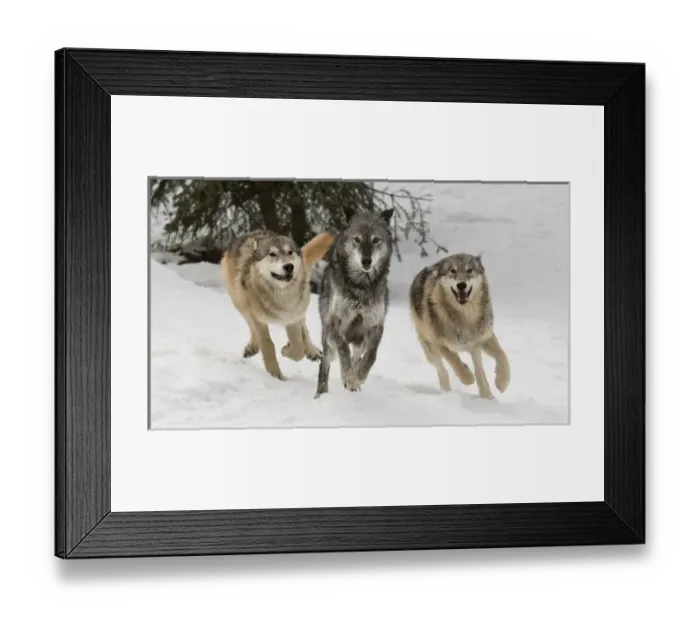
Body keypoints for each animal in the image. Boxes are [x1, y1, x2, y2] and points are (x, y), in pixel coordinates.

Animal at [220, 228, 335, 380]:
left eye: (290, 252)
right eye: (272, 254)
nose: (289, 266)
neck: (281, 297)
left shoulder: (292, 317)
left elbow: (298, 348)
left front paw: (286, 350)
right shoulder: (257, 318)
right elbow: (268, 344)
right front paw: (275, 374)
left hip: (301, 307)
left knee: (304, 329)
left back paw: (312, 351)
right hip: (240, 304)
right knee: (251, 326)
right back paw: (252, 347)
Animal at [314, 208, 394, 398]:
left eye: (375, 240)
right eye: (357, 239)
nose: (366, 261)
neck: (361, 286)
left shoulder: (375, 326)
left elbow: (371, 356)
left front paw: (358, 377)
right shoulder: (334, 325)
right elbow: (343, 348)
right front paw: (348, 379)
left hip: (360, 340)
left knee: (356, 355)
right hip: (328, 342)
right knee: (325, 364)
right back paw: (321, 394)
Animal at [409, 253, 510, 399]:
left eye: (470, 270)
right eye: (453, 271)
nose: (461, 285)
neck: (465, 317)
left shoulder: (483, 338)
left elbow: (502, 355)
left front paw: (502, 382)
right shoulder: (440, 344)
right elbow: (455, 361)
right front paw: (467, 377)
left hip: (475, 349)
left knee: (480, 372)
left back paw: (487, 397)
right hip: (430, 349)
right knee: (442, 371)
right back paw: (447, 390)